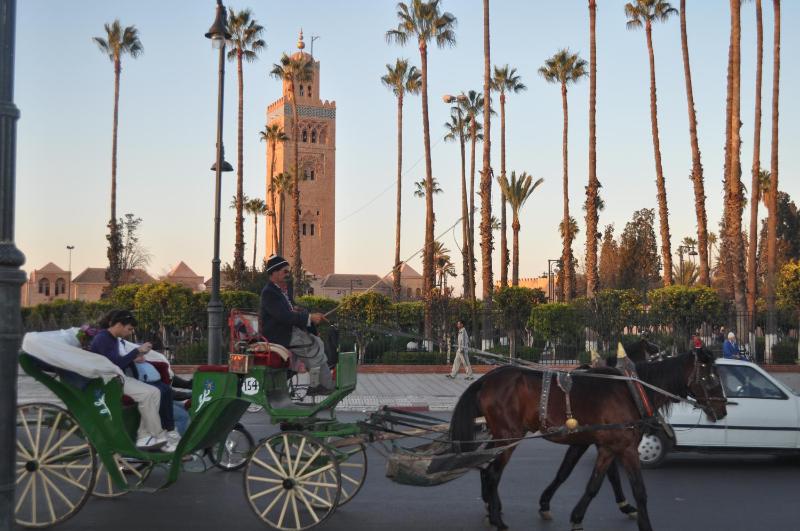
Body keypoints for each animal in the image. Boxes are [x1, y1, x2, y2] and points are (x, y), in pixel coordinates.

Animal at [450, 350, 724, 531]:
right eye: (710, 379)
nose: (722, 411)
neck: (632, 391)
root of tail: (486, 379)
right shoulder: (625, 448)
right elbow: (638, 489)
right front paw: (644, 523)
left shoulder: (605, 446)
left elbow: (592, 482)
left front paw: (575, 515)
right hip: (509, 434)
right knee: (493, 473)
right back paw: (497, 519)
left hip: (501, 435)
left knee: (486, 468)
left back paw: (491, 508)